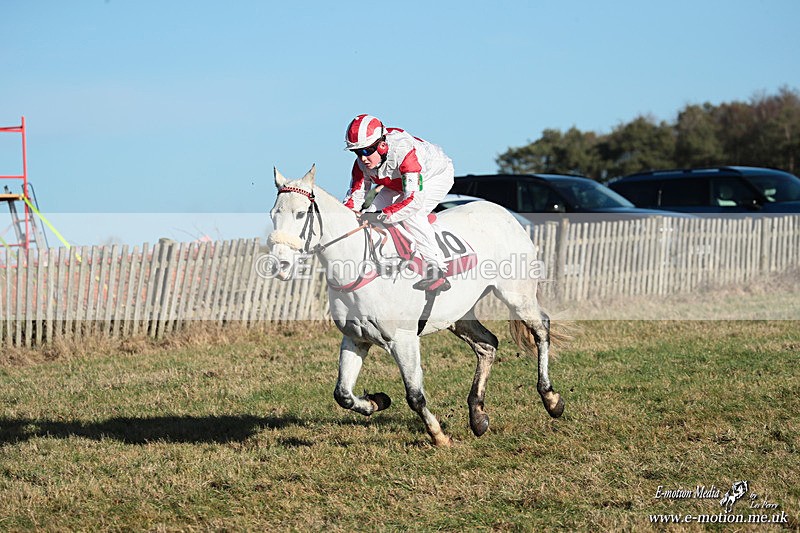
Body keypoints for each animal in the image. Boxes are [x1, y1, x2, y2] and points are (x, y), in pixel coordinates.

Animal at [267, 165, 564, 446]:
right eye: (273, 214)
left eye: (300, 214)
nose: (280, 264)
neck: (362, 267)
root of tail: (504, 214)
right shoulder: (356, 338)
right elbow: (342, 394)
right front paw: (377, 401)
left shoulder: (404, 340)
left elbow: (414, 395)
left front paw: (439, 436)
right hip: (459, 314)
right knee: (487, 344)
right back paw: (478, 415)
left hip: (517, 295)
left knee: (541, 330)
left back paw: (551, 399)